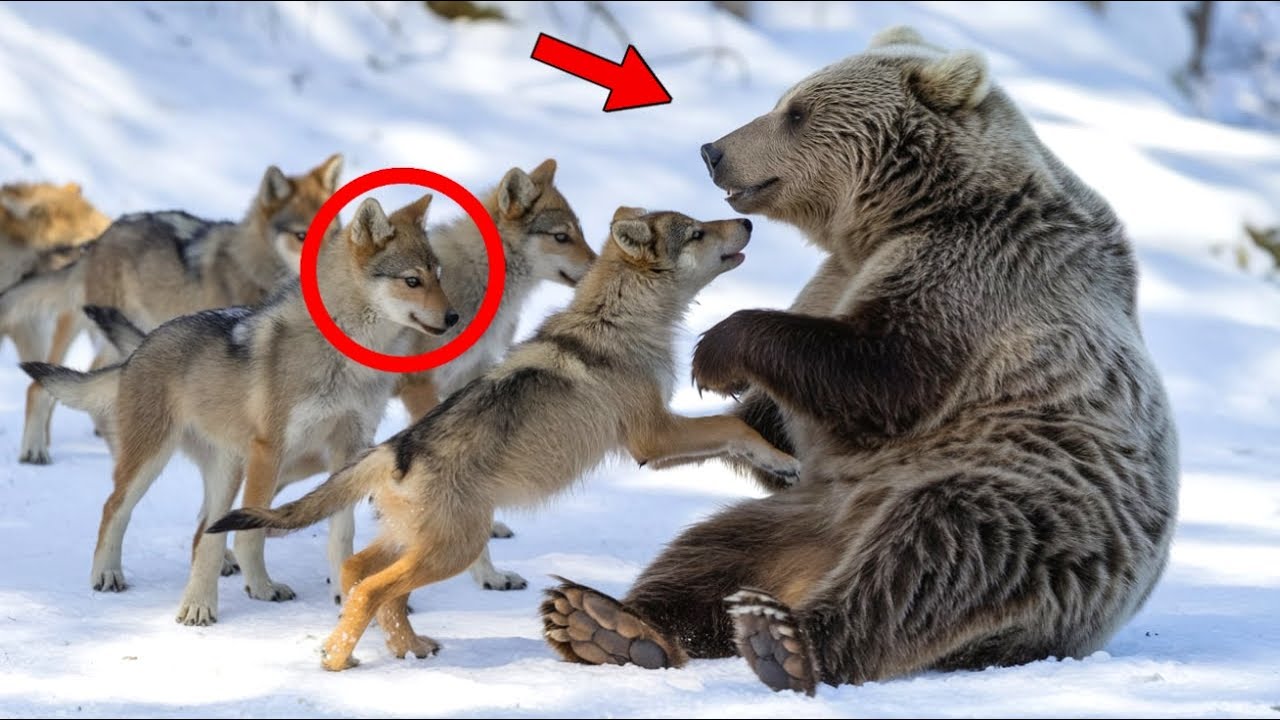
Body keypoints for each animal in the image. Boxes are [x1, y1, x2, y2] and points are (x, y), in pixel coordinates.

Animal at [23, 194, 454, 626]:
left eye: (438, 275)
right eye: (412, 281)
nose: (453, 317)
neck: (345, 356)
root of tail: (141, 347)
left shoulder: (350, 447)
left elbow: (340, 532)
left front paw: (344, 592)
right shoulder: (270, 450)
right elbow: (253, 531)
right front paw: (262, 587)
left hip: (227, 471)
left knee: (204, 531)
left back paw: (200, 595)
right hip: (154, 461)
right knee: (115, 507)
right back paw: (110, 574)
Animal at [206, 208, 800, 671]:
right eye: (697, 231)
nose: (748, 222)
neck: (617, 320)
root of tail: (394, 449)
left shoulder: (655, 442)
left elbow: (732, 434)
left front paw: (777, 463)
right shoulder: (652, 438)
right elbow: (732, 425)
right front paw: (785, 461)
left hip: (419, 543)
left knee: (360, 576)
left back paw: (405, 648)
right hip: (451, 548)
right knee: (374, 588)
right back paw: (338, 660)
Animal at [540, 26, 1179, 695]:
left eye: (797, 112)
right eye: (784, 99)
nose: (713, 151)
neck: (897, 218)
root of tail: (825, 556)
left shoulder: (978, 272)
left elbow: (886, 372)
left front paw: (716, 353)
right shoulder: (838, 276)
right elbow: (789, 423)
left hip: (1032, 506)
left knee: (935, 557)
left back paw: (787, 640)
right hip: (800, 518)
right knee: (708, 554)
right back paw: (608, 622)